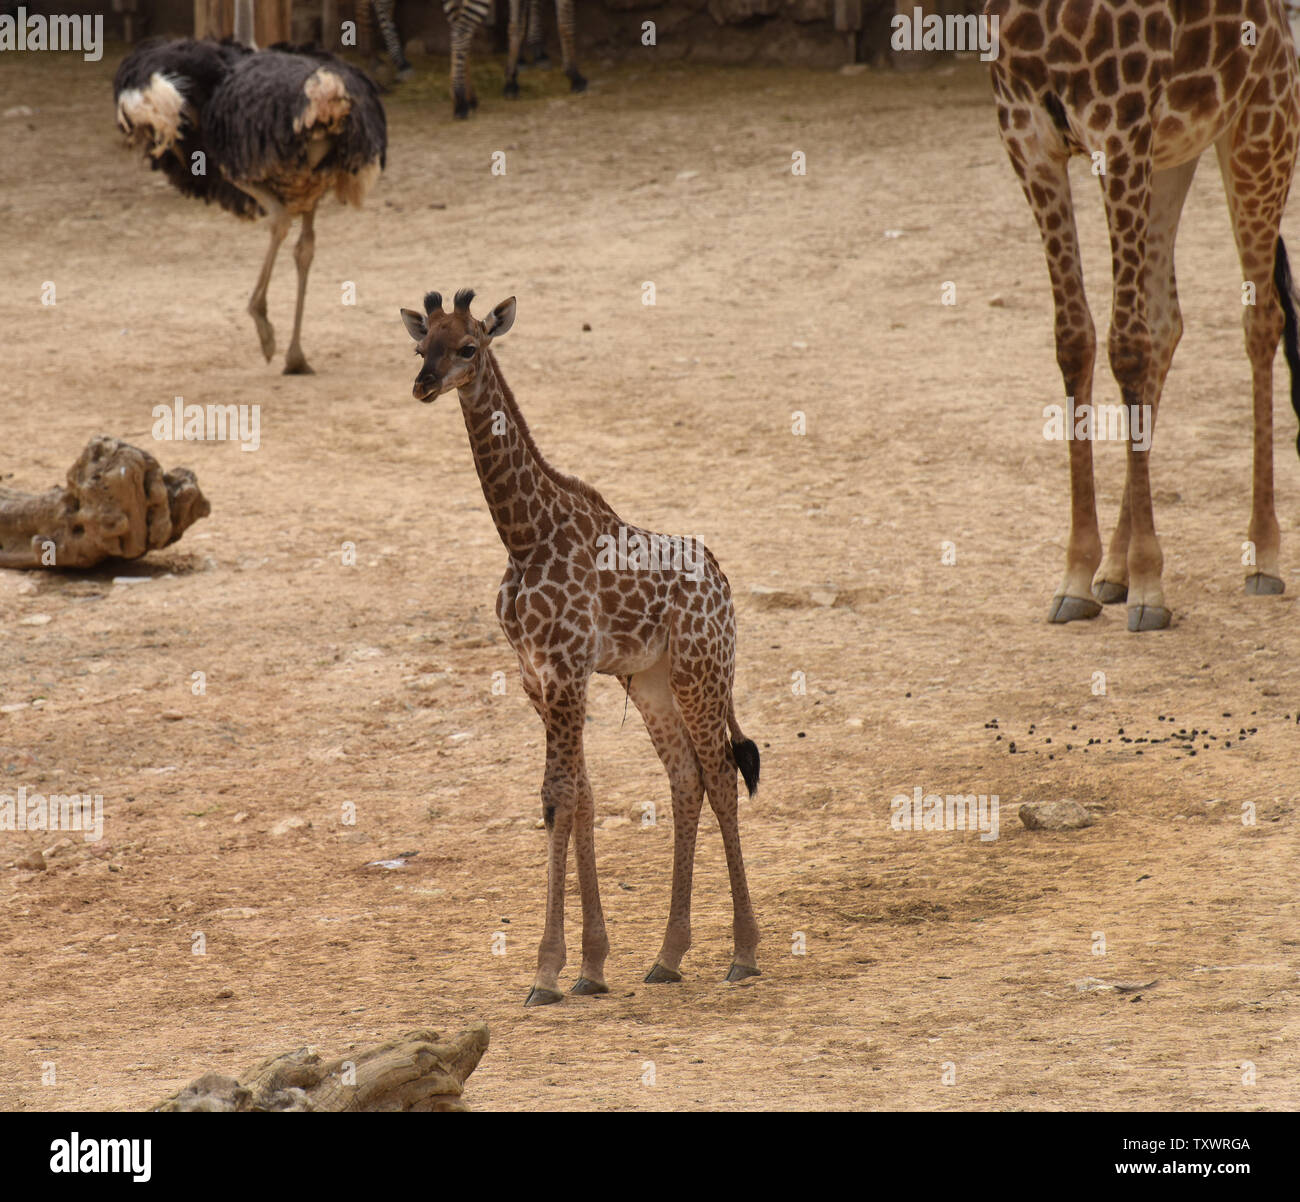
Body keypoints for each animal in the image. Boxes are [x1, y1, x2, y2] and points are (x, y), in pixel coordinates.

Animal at [397, 285, 759, 997]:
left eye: (469, 346)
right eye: (422, 344)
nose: (424, 384)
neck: (523, 535)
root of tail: (723, 583)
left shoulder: (565, 672)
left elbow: (560, 797)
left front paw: (547, 971)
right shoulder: (538, 678)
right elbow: (576, 796)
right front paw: (591, 966)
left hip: (701, 670)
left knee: (722, 773)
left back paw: (743, 953)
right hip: (649, 681)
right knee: (686, 777)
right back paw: (667, 956)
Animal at [982, 0, 1300, 634]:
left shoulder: (1120, 128)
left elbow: (1124, 347)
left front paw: (1151, 585)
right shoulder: (1028, 138)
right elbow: (1075, 339)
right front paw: (1079, 575)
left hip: (1262, 128)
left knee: (1260, 320)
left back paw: (1263, 554)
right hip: (1175, 153)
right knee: (1166, 321)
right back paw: (1113, 570)